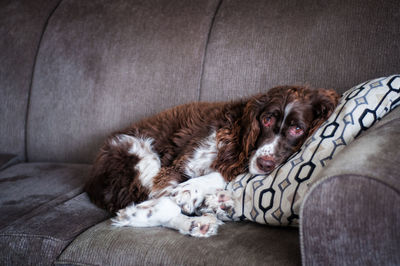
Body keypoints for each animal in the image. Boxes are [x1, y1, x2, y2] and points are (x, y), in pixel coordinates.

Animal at [86, 85, 340, 237]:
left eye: (298, 129)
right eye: (267, 119)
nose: (265, 164)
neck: (238, 132)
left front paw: (199, 194)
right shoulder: (175, 166)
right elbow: (171, 199)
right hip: (139, 153)